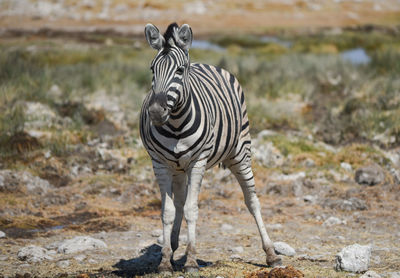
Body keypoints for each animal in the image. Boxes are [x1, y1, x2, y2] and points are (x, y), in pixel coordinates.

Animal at [140, 23, 282, 272]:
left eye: (179, 70)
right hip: (178, 168)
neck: (176, 125)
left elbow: (192, 209)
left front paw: (191, 260)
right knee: (179, 202)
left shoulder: (198, 161)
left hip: (240, 153)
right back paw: (174, 245)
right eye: (152, 69)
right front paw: (165, 260)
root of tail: (204, 63)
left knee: (252, 201)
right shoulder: (160, 163)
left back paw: (271, 254)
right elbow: (168, 211)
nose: (156, 112)